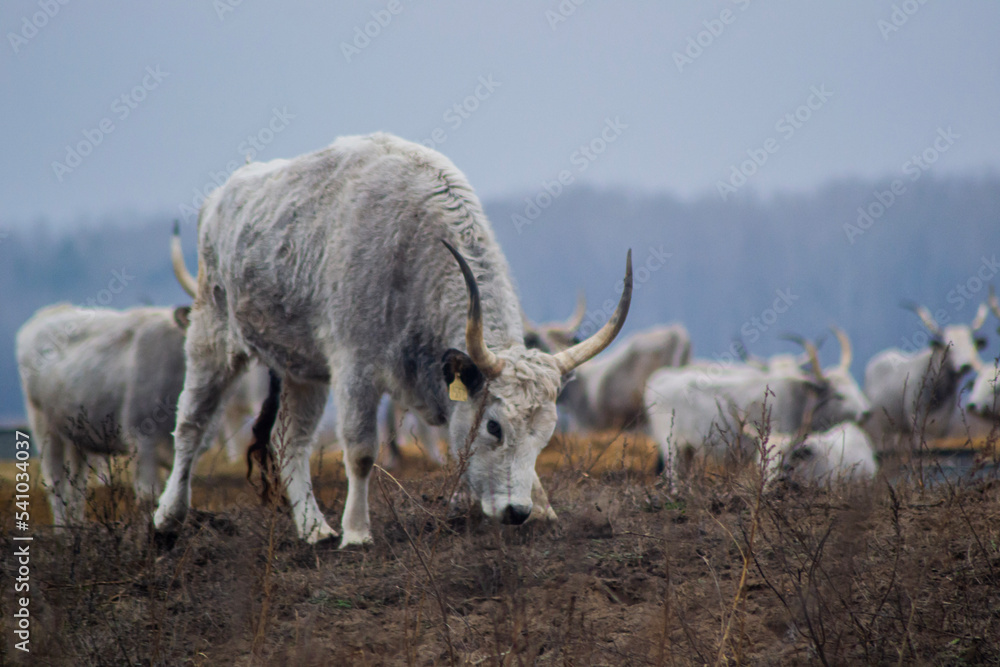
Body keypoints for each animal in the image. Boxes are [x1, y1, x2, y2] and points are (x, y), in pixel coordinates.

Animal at [16, 303, 192, 527]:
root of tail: (51, 310)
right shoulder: (143, 439)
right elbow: (148, 496)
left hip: (77, 435)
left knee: (77, 487)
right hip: (43, 426)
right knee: (55, 483)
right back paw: (62, 530)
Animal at [152, 133, 633, 546]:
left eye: (545, 433)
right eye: (494, 426)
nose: (516, 512)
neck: (411, 247)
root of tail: (224, 194)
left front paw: (545, 509)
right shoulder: (354, 368)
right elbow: (362, 450)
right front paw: (357, 533)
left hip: (302, 370)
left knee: (291, 439)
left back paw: (313, 528)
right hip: (211, 336)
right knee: (191, 423)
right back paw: (168, 517)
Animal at [645, 330, 870, 487]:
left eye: (854, 386)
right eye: (839, 395)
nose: (866, 412)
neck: (799, 397)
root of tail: (658, 380)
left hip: (688, 451)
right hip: (672, 446)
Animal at [864, 301, 989, 447]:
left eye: (971, 345)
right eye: (949, 347)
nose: (965, 365)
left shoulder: (945, 427)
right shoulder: (915, 420)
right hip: (884, 427)